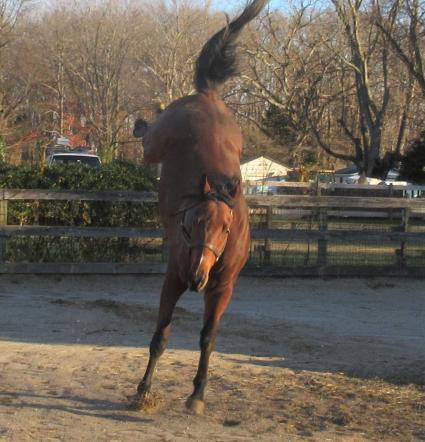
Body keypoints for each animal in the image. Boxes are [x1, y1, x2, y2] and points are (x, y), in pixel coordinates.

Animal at [131, 0, 266, 414]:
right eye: (189, 224)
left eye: (225, 229)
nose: (196, 277)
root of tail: (208, 96)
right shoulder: (173, 279)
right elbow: (161, 334)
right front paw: (143, 390)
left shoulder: (222, 289)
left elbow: (208, 338)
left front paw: (197, 395)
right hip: (155, 145)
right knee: (148, 133)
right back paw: (142, 119)